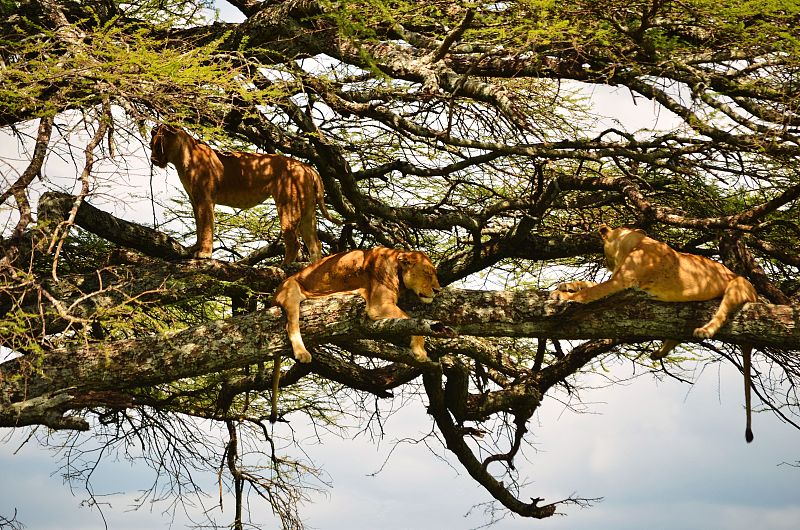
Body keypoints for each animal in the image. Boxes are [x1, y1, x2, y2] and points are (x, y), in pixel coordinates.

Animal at [152, 124, 340, 264]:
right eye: (151, 144)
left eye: (157, 144)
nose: (153, 160)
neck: (182, 156)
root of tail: (308, 167)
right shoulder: (195, 200)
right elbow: (199, 225)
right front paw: (195, 248)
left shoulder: (205, 198)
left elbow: (206, 226)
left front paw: (204, 254)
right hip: (308, 211)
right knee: (314, 244)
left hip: (288, 205)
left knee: (294, 242)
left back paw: (283, 267)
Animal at [270, 246, 444, 420]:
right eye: (427, 273)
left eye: (435, 273)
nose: (437, 290)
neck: (396, 267)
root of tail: (274, 293)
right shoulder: (378, 305)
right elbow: (413, 320)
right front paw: (420, 351)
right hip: (291, 289)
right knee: (291, 325)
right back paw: (302, 352)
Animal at [548, 224, 760, 442]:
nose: (606, 264)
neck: (635, 242)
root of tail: (756, 294)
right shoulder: (618, 279)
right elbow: (589, 284)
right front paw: (567, 286)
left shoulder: (621, 281)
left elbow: (590, 292)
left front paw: (562, 296)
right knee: (677, 337)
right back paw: (659, 352)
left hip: (737, 285)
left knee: (723, 314)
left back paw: (704, 330)